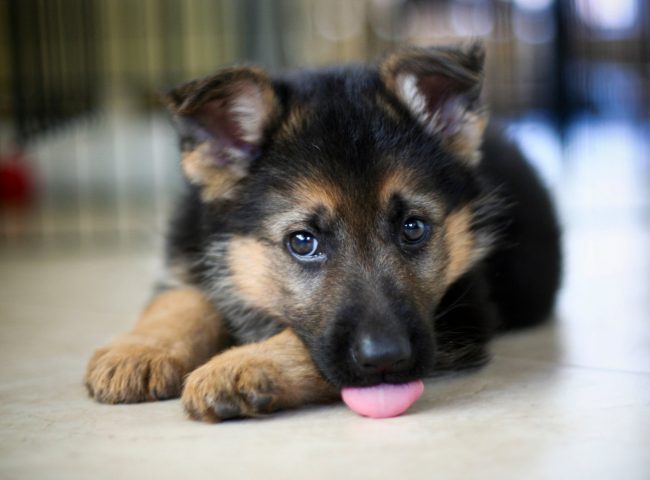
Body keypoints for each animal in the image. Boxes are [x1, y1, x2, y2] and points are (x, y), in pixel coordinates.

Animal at [86, 43, 560, 422]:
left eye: (413, 228)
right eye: (302, 242)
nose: (386, 359)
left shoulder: (462, 313)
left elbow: (301, 343)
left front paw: (241, 366)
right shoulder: (188, 251)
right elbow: (179, 301)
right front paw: (140, 351)